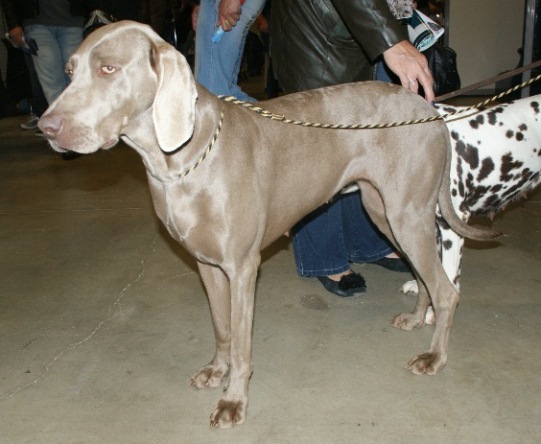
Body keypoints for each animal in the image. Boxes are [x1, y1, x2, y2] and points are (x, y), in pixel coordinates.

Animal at [38, 22, 498, 428]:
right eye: (70, 71)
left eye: (108, 69)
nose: (46, 127)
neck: (179, 161)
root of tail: (429, 110)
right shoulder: (207, 264)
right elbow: (222, 328)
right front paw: (216, 370)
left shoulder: (242, 267)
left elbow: (243, 345)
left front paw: (233, 400)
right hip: (386, 212)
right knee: (422, 274)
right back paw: (417, 317)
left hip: (406, 213)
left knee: (447, 290)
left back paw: (434, 356)